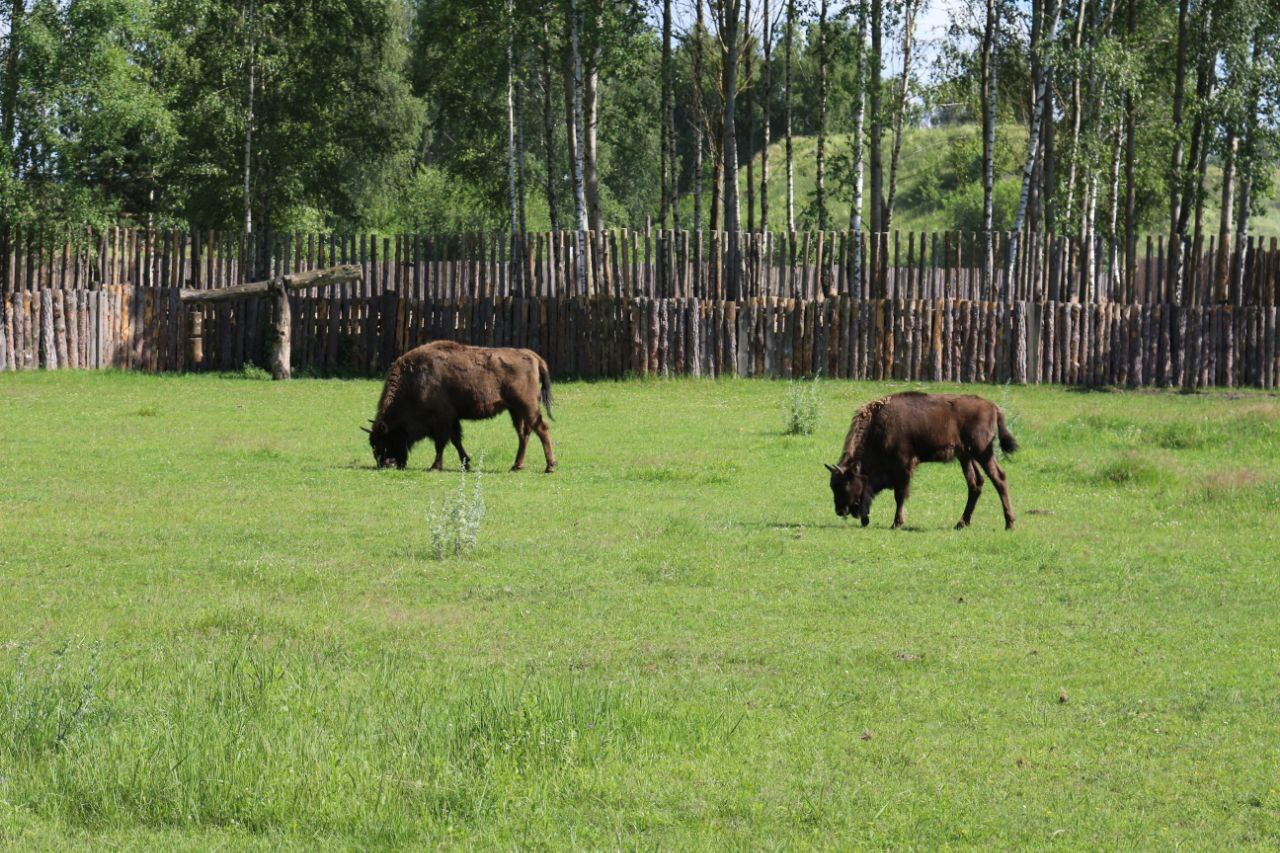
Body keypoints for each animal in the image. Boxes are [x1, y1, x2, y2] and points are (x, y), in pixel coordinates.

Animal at [363, 338, 558, 471]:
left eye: (384, 439)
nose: (385, 464)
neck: (414, 379)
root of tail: (533, 356)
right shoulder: (452, 419)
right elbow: (456, 440)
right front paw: (466, 463)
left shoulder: (442, 419)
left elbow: (441, 443)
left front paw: (435, 467)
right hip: (515, 410)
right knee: (524, 433)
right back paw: (516, 466)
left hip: (527, 407)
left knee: (541, 428)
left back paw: (549, 467)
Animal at [829, 389, 1018, 525]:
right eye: (833, 485)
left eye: (844, 484)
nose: (839, 510)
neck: (880, 426)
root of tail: (993, 407)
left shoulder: (904, 465)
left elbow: (900, 495)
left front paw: (897, 523)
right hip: (966, 456)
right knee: (975, 484)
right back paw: (961, 523)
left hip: (982, 452)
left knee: (999, 479)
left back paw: (1009, 523)